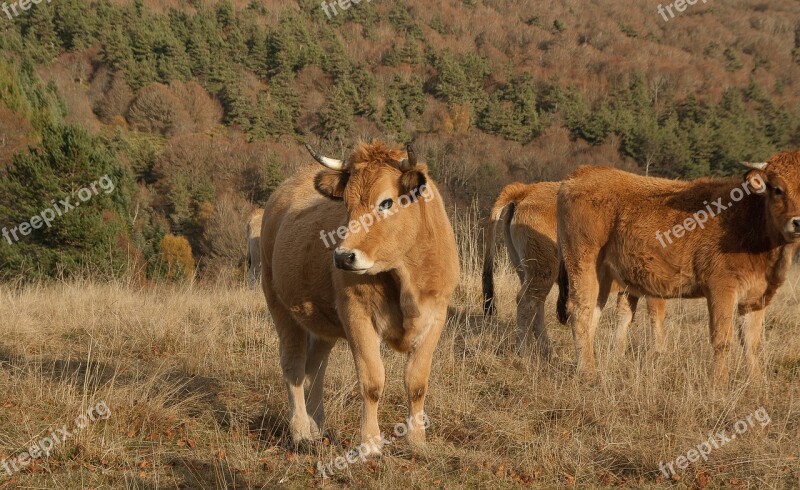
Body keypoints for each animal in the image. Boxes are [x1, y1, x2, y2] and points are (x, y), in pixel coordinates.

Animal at [256, 140, 456, 454]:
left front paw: (417, 440)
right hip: (279, 305)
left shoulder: (436, 315)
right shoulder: (357, 314)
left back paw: (317, 425)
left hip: (321, 321)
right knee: (294, 366)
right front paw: (370, 444)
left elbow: (416, 383)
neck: (404, 275)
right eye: (346, 205)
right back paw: (300, 431)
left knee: (315, 368)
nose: (342, 256)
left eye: (386, 202)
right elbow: (372, 382)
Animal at [482, 182, 668, 358]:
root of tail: (527, 189)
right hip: (543, 271)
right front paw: (659, 353)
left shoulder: (628, 289)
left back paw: (548, 352)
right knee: (525, 302)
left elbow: (624, 317)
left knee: (536, 307)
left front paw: (618, 354)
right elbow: (656, 318)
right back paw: (523, 351)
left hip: (528, 272)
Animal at [556, 151, 800, 380]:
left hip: (603, 276)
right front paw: (719, 383)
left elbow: (752, 344)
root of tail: (583, 172)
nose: (797, 222)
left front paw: (755, 383)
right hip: (582, 263)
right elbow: (722, 339)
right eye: (777, 189)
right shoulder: (721, 288)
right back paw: (588, 372)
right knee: (580, 312)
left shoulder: (756, 298)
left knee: (592, 315)